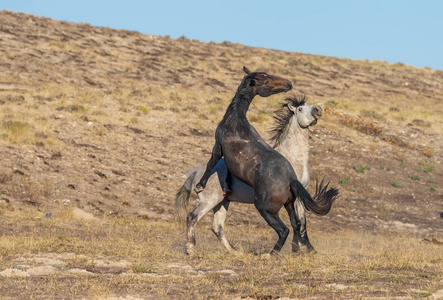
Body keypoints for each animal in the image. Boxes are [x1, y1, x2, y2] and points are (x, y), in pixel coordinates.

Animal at [194, 67, 336, 254]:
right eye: (300, 109)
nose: (288, 83)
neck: (236, 119)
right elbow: (301, 224)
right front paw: (302, 248)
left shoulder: (218, 146)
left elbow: (212, 161)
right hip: (217, 202)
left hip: (256, 207)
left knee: (284, 229)